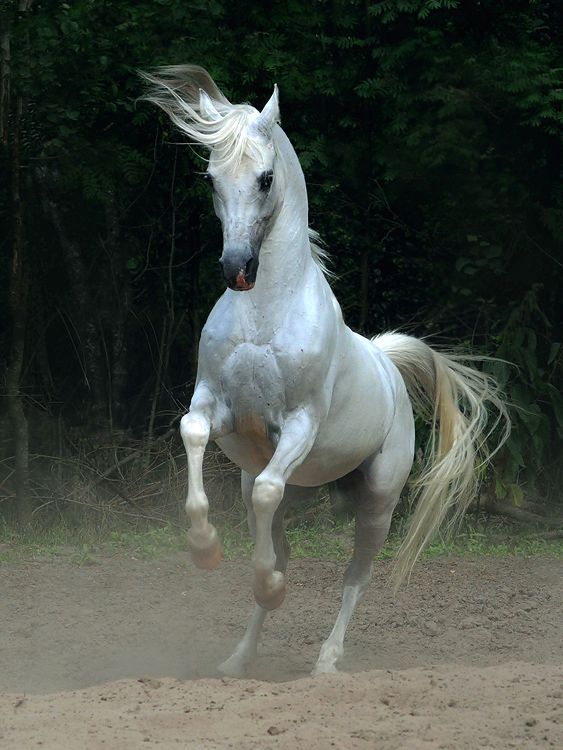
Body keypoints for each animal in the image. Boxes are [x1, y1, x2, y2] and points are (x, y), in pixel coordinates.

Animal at [142, 66, 509, 677]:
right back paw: (239, 658)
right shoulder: (215, 405)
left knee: (355, 575)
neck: (265, 312)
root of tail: (387, 363)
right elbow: (194, 437)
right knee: (278, 535)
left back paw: (326, 661)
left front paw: (268, 587)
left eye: (265, 178)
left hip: (378, 502)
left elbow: (272, 502)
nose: (236, 268)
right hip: (288, 484)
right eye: (212, 178)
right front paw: (206, 550)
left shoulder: (299, 425)